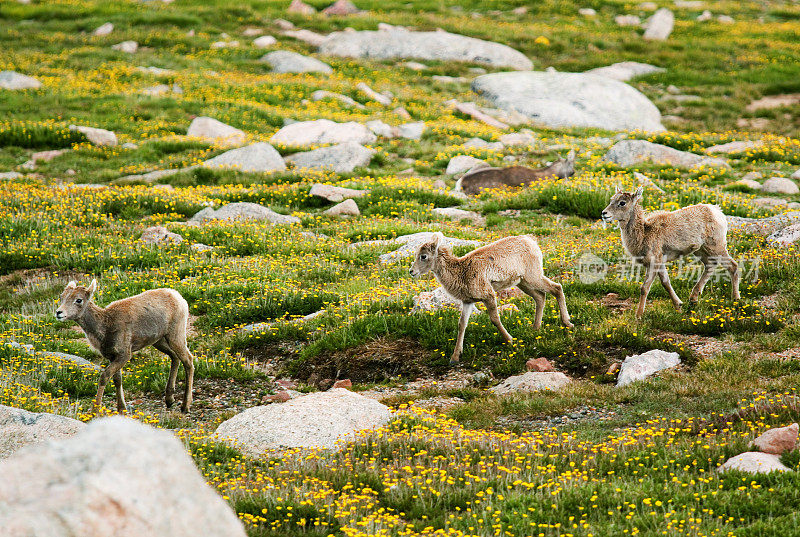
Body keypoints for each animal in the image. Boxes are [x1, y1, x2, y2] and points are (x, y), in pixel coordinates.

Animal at [55, 278, 195, 412]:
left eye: (79, 300)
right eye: (62, 296)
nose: (58, 312)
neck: (106, 325)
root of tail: (178, 297)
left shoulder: (124, 355)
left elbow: (104, 377)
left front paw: (95, 410)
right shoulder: (113, 357)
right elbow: (117, 380)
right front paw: (121, 409)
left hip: (176, 336)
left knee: (188, 360)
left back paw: (185, 406)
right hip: (159, 341)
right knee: (175, 357)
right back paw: (169, 400)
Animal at [410, 231, 572, 364]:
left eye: (423, 256)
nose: (411, 271)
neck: (462, 272)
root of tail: (530, 240)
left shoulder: (488, 295)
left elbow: (494, 319)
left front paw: (510, 340)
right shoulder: (467, 301)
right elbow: (462, 324)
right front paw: (455, 357)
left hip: (533, 277)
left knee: (557, 288)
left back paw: (567, 323)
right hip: (523, 282)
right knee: (540, 297)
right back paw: (535, 328)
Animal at [604, 185, 740, 318]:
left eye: (622, 202)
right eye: (611, 199)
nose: (604, 213)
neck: (644, 233)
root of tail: (718, 212)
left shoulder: (654, 262)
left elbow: (644, 288)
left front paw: (638, 316)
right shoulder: (660, 262)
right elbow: (666, 283)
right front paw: (679, 306)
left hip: (716, 247)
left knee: (733, 266)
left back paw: (735, 299)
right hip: (701, 250)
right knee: (710, 265)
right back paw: (693, 299)